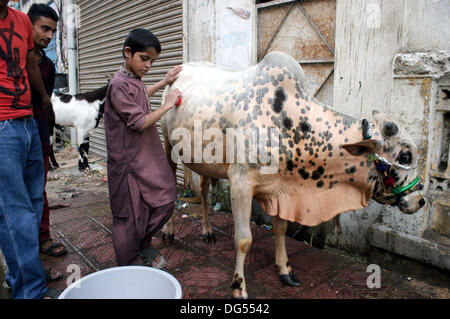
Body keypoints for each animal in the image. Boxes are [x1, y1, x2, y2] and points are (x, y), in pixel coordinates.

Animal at [159, 51, 426, 298]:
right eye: (405, 156)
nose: (420, 200)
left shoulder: (281, 191)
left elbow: (281, 230)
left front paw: (285, 270)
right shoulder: (241, 185)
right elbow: (244, 240)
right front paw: (238, 287)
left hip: (203, 162)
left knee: (204, 192)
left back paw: (207, 231)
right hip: (168, 147)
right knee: (172, 188)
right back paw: (168, 233)